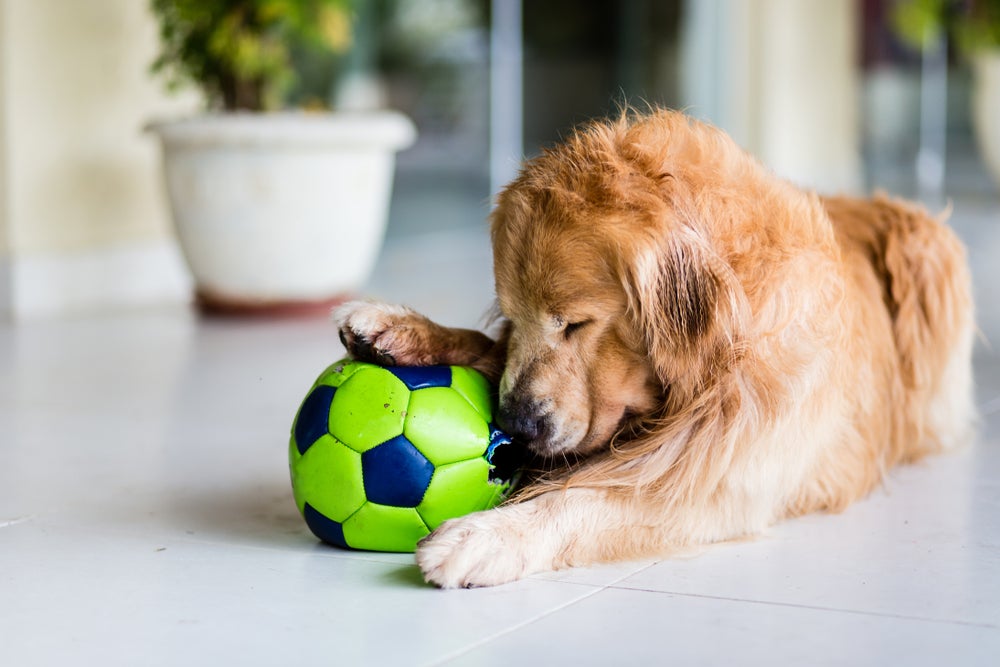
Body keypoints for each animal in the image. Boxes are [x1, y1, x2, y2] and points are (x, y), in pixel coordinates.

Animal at [332, 109, 972, 588]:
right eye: (514, 315)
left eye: (576, 324)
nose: (514, 425)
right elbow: (491, 348)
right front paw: (398, 327)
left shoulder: (727, 475)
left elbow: (588, 501)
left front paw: (485, 536)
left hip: (929, 251)